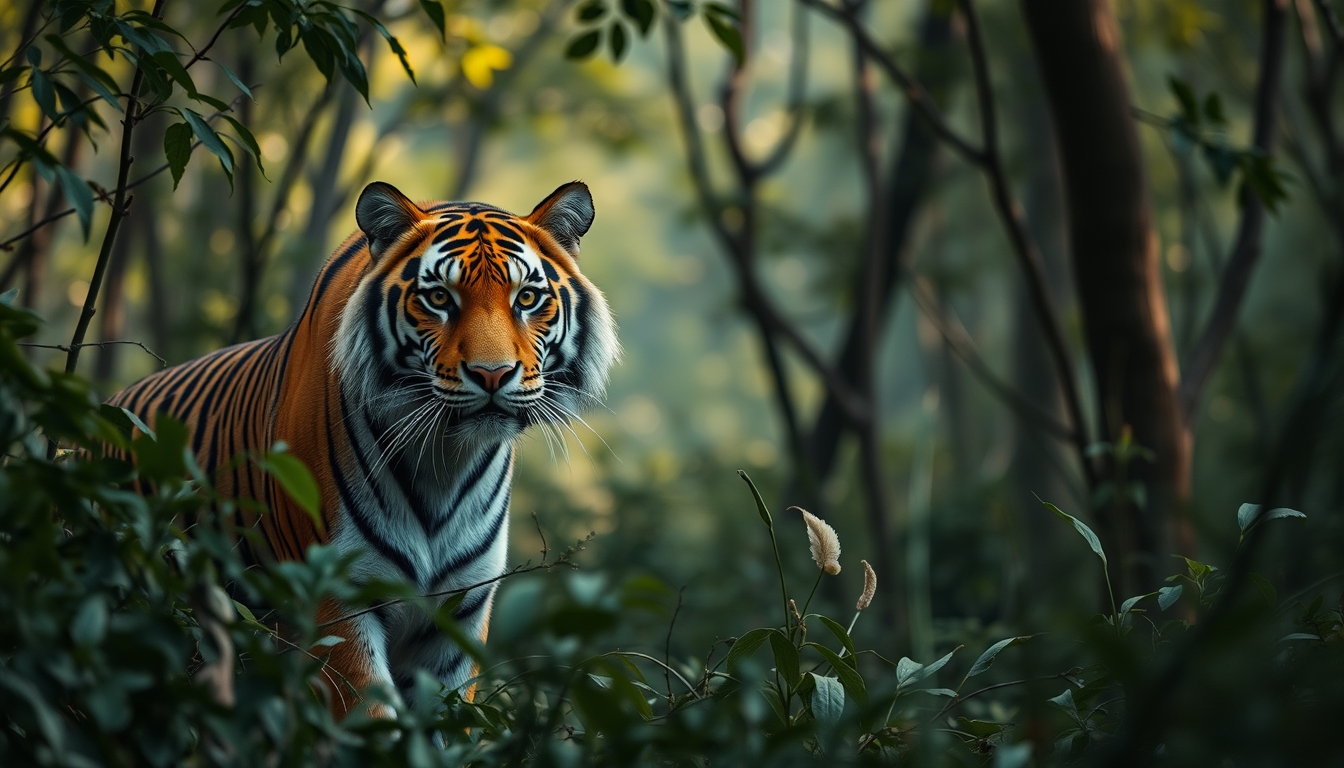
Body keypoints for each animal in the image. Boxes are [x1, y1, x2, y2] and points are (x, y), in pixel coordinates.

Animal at [108, 180, 619, 716]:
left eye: (527, 297)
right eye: (439, 297)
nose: (492, 374)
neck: (445, 459)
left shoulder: (462, 609)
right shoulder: (337, 596)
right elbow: (371, 714)